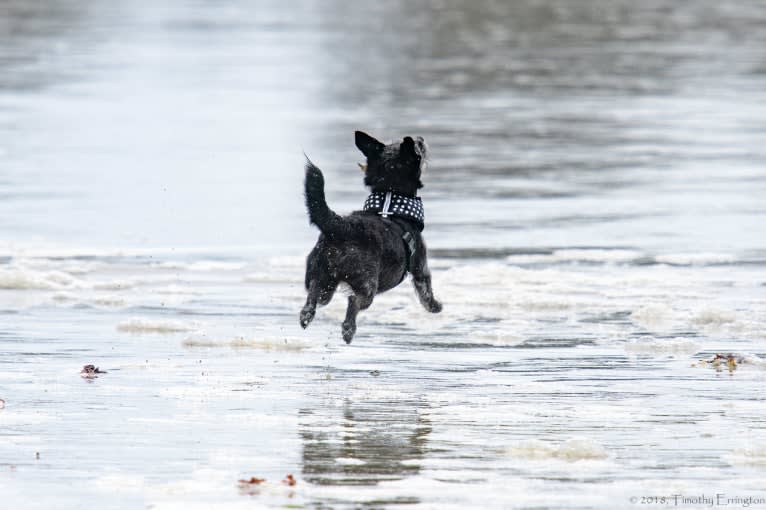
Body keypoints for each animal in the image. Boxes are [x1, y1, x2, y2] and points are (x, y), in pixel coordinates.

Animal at [302, 129, 444, 344]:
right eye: (419, 148)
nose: (420, 138)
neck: (390, 198)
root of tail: (342, 227)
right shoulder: (421, 265)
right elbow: (426, 291)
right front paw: (436, 307)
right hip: (367, 284)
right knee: (353, 300)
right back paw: (348, 330)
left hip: (321, 275)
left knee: (315, 292)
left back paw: (307, 314)